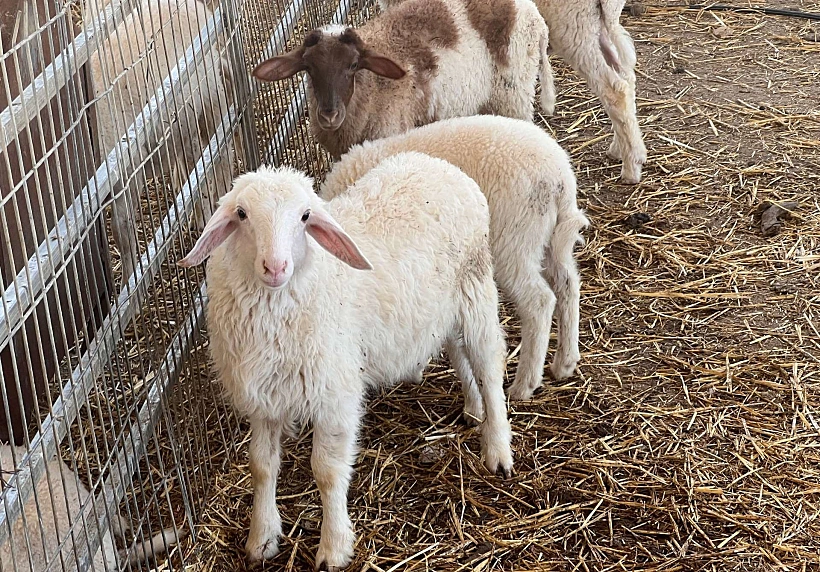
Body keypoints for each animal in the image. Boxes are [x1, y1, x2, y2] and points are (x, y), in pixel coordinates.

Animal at [90, 0, 237, 284]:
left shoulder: (127, 173)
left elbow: (122, 230)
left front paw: (130, 282)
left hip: (209, 100)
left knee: (219, 155)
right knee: (191, 162)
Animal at [179, 154, 512, 568]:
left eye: (305, 216)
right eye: (241, 214)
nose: (275, 267)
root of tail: (437, 163)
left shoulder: (335, 394)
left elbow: (327, 471)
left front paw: (333, 547)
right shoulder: (265, 398)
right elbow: (260, 465)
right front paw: (261, 537)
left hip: (476, 285)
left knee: (489, 364)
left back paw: (497, 447)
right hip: (442, 307)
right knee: (459, 353)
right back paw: (473, 408)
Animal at [253, 0, 556, 159]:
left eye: (353, 65)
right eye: (308, 68)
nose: (329, 115)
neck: (373, 87)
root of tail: (533, 14)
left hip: (514, 89)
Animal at [322, 115, 588, 402]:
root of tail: (561, 177)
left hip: (514, 241)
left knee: (539, 301)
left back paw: (524, 384)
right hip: (547, 238)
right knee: (568, 283)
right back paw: (565, 362)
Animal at [382, 0, 652, 183]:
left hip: (573, 23)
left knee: (614, 87)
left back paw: (631, 166)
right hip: (595, 23)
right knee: (626, 77)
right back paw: (624, 148)